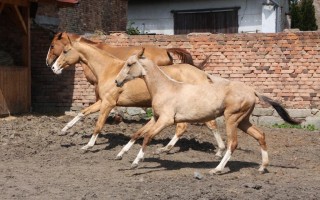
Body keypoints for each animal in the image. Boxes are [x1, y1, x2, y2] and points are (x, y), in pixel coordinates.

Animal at [50, 36, 225, 156]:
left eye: (64, 51)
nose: (53, 68)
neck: (109, 70)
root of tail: (202, 74)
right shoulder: (102, 101)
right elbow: (82, 113)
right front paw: (63, 130)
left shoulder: (108, 103)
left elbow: (98, 125)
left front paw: (88, 146)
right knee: (185, 127)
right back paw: (166, 149)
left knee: (208, 125)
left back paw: (218, 151)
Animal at [115, 49, 302, 174]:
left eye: (130, 64)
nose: (117, 81)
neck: (165, 88)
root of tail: (253, 91)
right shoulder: (155, 118)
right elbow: (137, 133)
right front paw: (120, 155)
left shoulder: (166, 120)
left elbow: (147, 137)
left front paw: (136, 162)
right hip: (243, 121)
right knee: (260, 135)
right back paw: (262, 167)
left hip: (231, 119)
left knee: (232, 143)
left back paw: (217, 169)